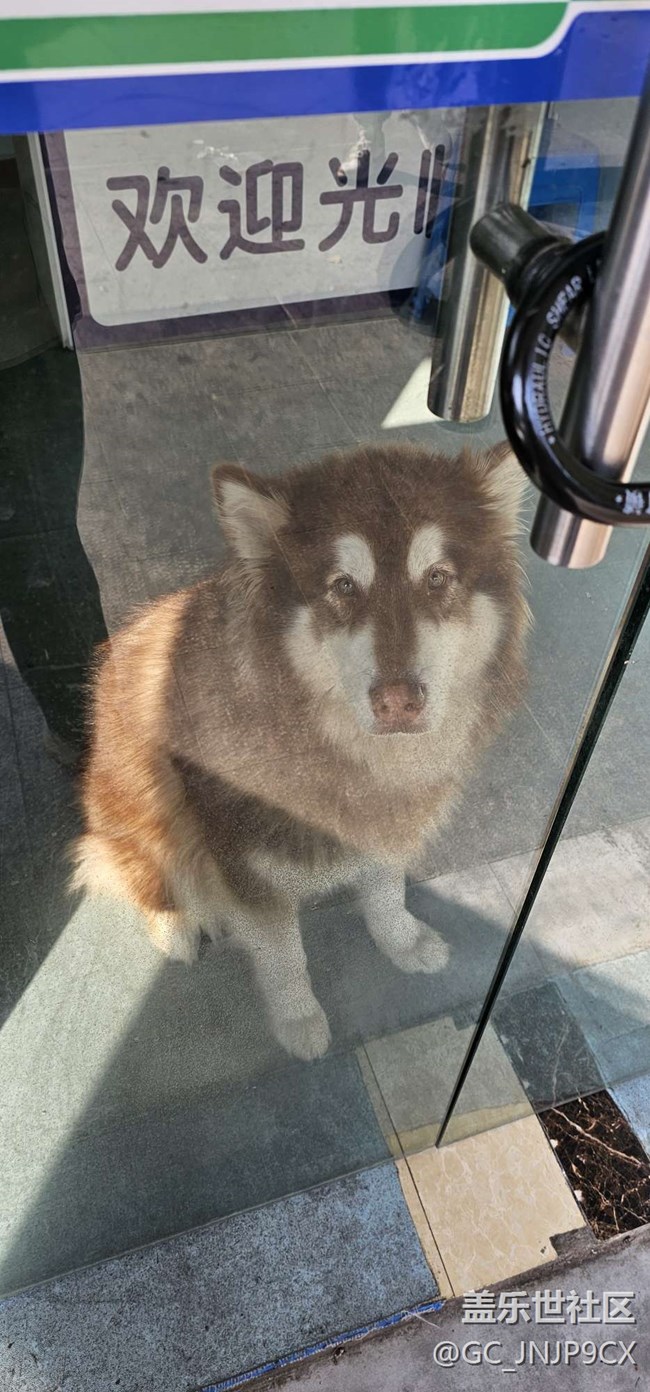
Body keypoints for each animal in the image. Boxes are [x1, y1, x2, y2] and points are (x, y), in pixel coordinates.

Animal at [73, 442, 529, 1060]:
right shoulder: (245, 865)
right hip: (136, 815)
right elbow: (283, 952)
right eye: (343, 586)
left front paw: (402, 941)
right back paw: (175, 926)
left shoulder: (383, 825)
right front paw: (297, 1018)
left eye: (437, 578)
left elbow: (386, 892)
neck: (349, 757)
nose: (399, 702)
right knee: (141, 872)